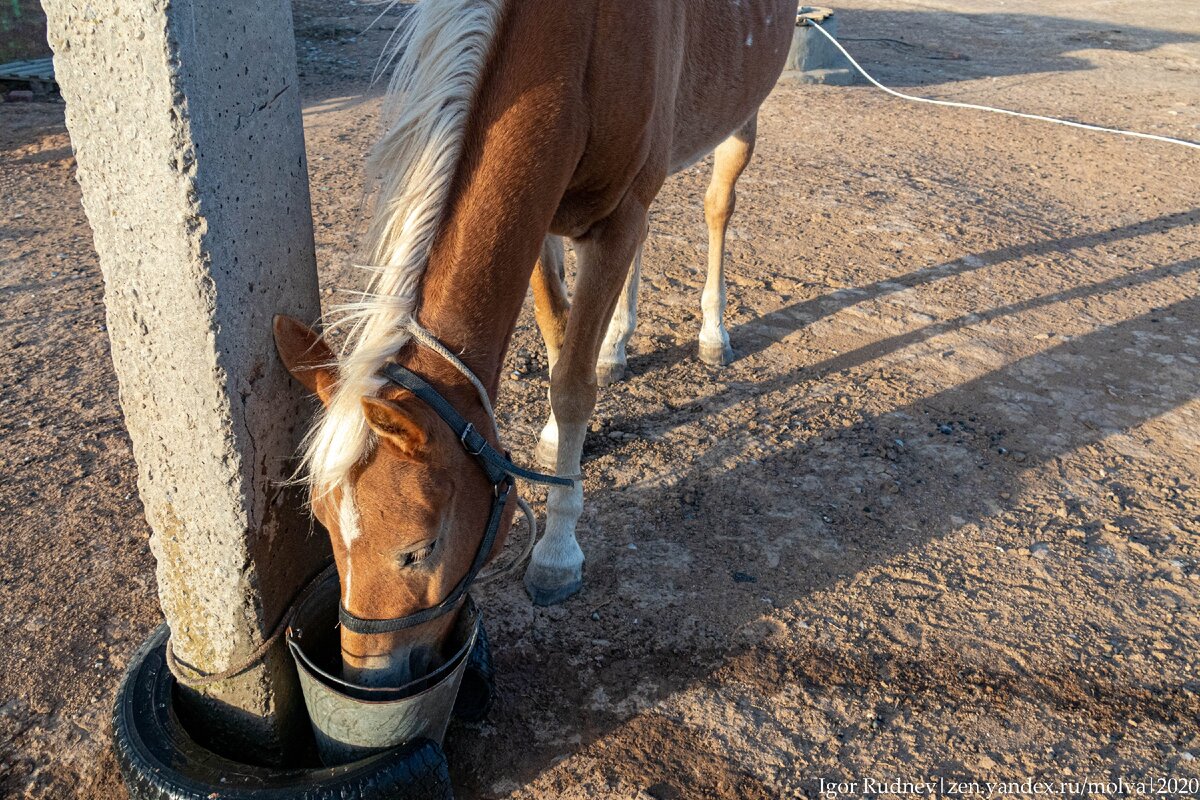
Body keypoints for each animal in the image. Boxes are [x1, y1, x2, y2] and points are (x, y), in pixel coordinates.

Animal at [272, 1, 796, 690]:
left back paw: (713, 334)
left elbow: (573, 386)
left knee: (717, 206)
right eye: (328, 528)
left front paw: (556, 552)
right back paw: (618, 344)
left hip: (739, 123)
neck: (579, 42)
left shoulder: (615, 218)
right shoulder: (549, 217)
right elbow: (557, 342)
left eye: (418, 548)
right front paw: (554, 438)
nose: (369, 679)